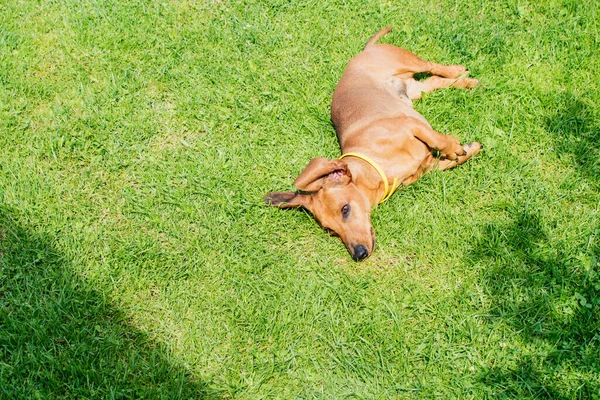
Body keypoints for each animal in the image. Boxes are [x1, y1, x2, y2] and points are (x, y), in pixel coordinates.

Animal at [264, 26, 480, 260]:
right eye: (330, 230)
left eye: (345, 209)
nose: (359, 253)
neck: (378, 166)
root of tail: (364, 51)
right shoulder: (425, 166)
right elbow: (446, 162)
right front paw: (467, 149)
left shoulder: (410, 124)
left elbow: (438, 139)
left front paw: (454, 147)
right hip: (415, 90)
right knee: (436, 81)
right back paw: (466, 81)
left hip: (408, 62)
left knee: (433, 66)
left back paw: (458, 70)